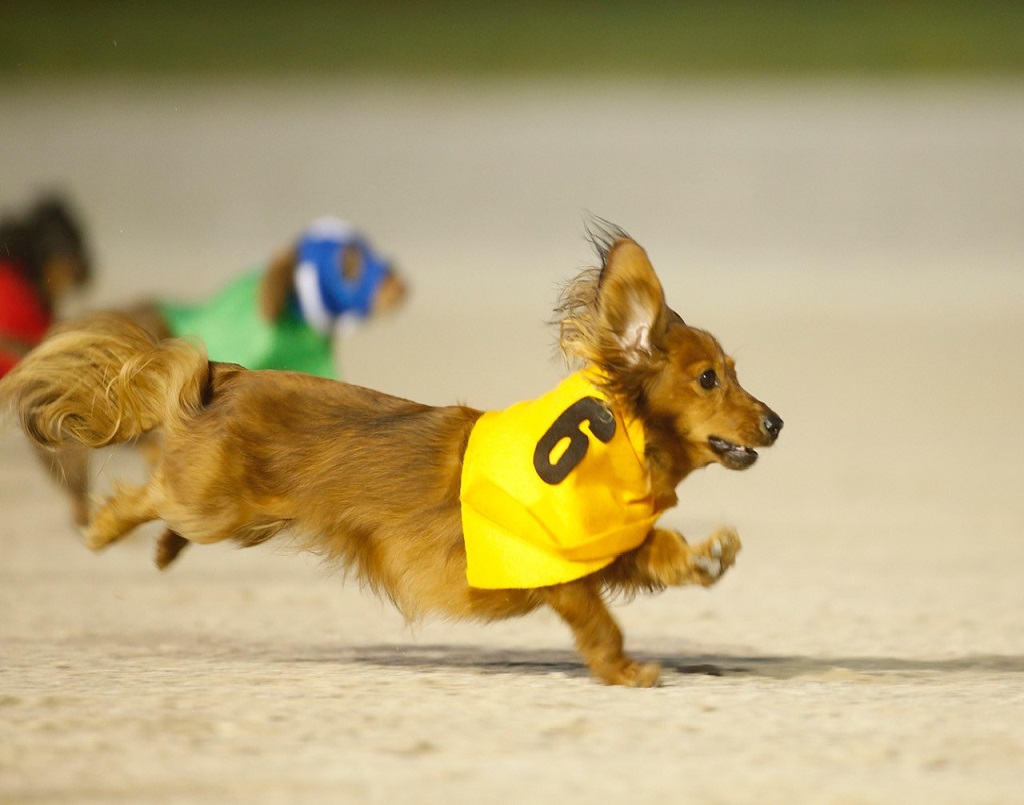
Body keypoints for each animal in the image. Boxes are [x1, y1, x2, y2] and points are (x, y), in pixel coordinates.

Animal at [2, 224, 782, 684]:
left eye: (734, 371)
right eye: (708, 379)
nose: (776, 423)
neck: (617, 440)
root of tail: (226, 375)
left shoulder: (600, 546)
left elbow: (654, 550)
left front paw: (703, 557)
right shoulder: (548, 562)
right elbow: (599, 619)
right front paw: (625, 670)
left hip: (242, 518)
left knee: (168, 513)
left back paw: (162, 550)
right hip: (213, 504)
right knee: (148, 494)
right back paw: (105, 527)